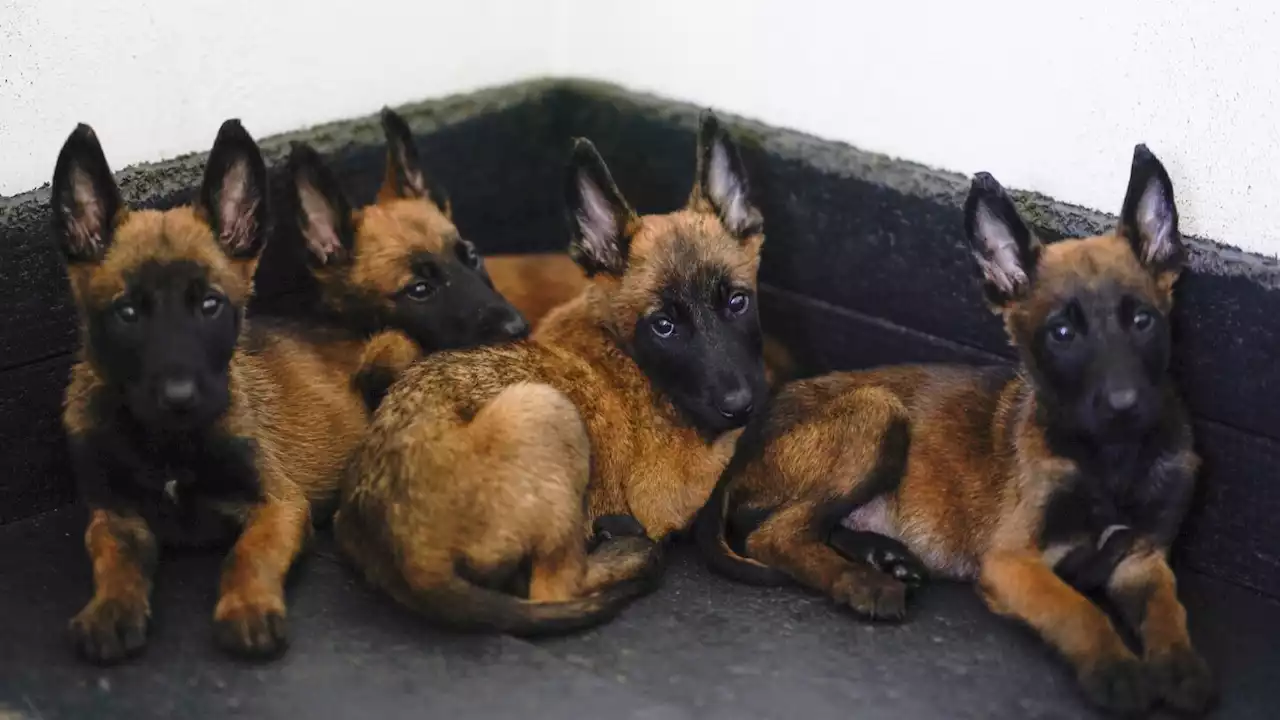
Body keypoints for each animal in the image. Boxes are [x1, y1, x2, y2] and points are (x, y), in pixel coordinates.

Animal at [52, 119, 373, 661]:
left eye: (209, 304)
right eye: (128, 312)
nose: (180, 398)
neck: (166, 446)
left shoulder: (280, 503)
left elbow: (247, 555)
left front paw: (247, 606)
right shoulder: (113, 514)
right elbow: (113, 561)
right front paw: (111, 608)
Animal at [332, 112, 768, 632]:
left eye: (738, 302)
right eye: (664, 326)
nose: (740, 405)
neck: (628, 353)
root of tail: (408, 555)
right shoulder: (671, 491)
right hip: (547, 409)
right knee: (554, 587)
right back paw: (627, 548)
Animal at [701, 146, 1208, 712]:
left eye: (1143, 321)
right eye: (1061, 333)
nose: (1124, 405)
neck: (1110, 462)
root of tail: (749, 432)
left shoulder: (1142, 560)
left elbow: (1168, 612)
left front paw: (1180, 667)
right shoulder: (1012, 562)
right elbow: (1077, 608)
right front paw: (1115, 667)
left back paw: (884, 556)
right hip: (878, 412)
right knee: (775, 533)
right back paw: (861, 582)